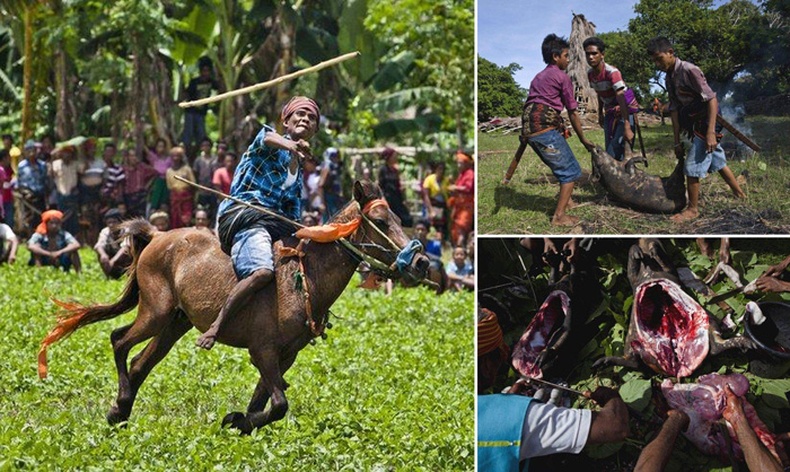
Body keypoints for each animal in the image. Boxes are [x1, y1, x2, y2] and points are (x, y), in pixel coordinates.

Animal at [40, 183, 430, 434]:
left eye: (398, 218)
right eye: (381, 221)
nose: (422, 262)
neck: (306, 278)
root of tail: (156, 236)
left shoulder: (285, 355)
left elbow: (265, 403)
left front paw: (239, 422)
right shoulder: (263, 350)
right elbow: (279, 404)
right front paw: (235, 421)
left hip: (176, 322)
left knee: (139, 362)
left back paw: (119, 412)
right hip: (156, 312)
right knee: (119, 340)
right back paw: (120, 404)